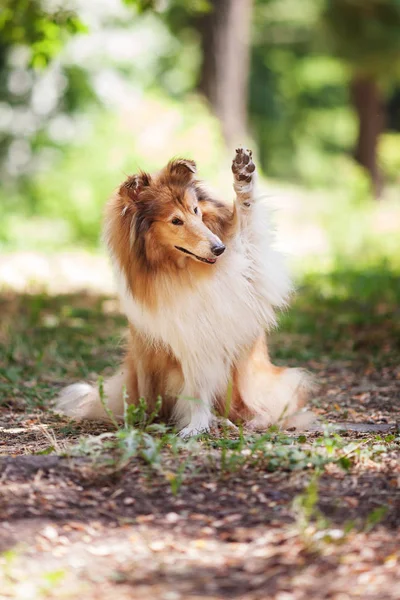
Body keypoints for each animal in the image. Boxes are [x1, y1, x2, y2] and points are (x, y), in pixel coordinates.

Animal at [55, 147, 312, 434]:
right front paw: (196, 426)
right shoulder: (188, 342)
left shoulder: (249, 272)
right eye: (175, 220)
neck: (187, 269)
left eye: (196, 210)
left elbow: (248, 227)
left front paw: (244, 177)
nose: (219, 249)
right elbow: (196, 391)